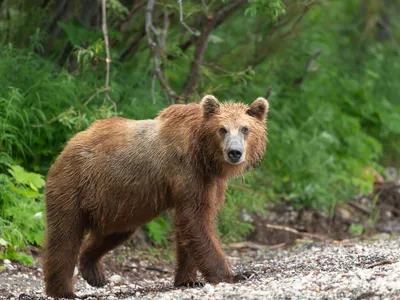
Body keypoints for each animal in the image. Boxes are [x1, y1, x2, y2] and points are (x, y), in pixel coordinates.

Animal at [43, 95, 268, 298]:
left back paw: (93, 271)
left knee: (113, 232)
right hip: (73, 185)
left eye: (245, 129)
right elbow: (196, 221)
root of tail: (67, 146)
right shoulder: (188, 171)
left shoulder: (210, 182)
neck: (205, 155)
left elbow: (191, 224)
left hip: (119, 204)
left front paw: (188, 280)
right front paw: (232, 275)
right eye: (222, 129)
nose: (234, 152)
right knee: (64, 237)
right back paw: (63, 291)